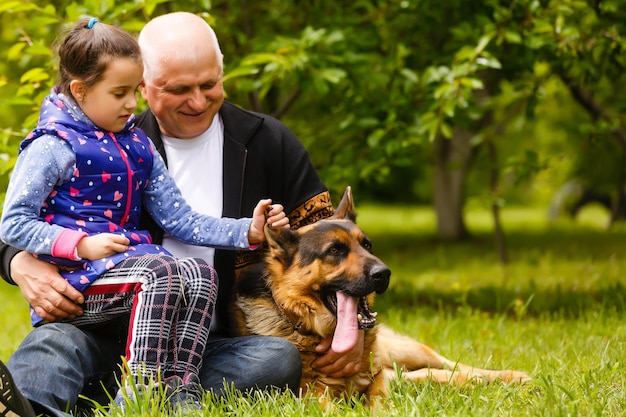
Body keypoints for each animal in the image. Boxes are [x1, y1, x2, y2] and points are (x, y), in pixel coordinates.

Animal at [232, 186, 528, 400]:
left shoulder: (377, 379)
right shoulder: (313, 397)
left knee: (452, 365)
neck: (309, 328)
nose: (383, 273)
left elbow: (380, 400)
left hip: (407, 351)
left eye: (367, 245)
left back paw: (508, 376)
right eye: (334, 250)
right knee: (435, 374)